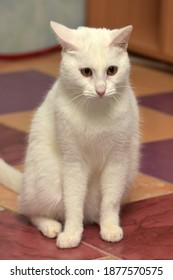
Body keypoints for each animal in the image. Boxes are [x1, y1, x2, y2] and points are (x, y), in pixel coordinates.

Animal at [0, 22, 139, 249]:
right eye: (86, 72)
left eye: (112, 70)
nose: (101, 90)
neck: (96, 110)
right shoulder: (73, 162)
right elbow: (73, 203)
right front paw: (72, 234)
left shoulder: (117, 160)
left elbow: (110, 201)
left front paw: (110, 227)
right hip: (48, 183)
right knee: (30, 211)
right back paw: (51, 226)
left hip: (127, 174)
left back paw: (99, 219)